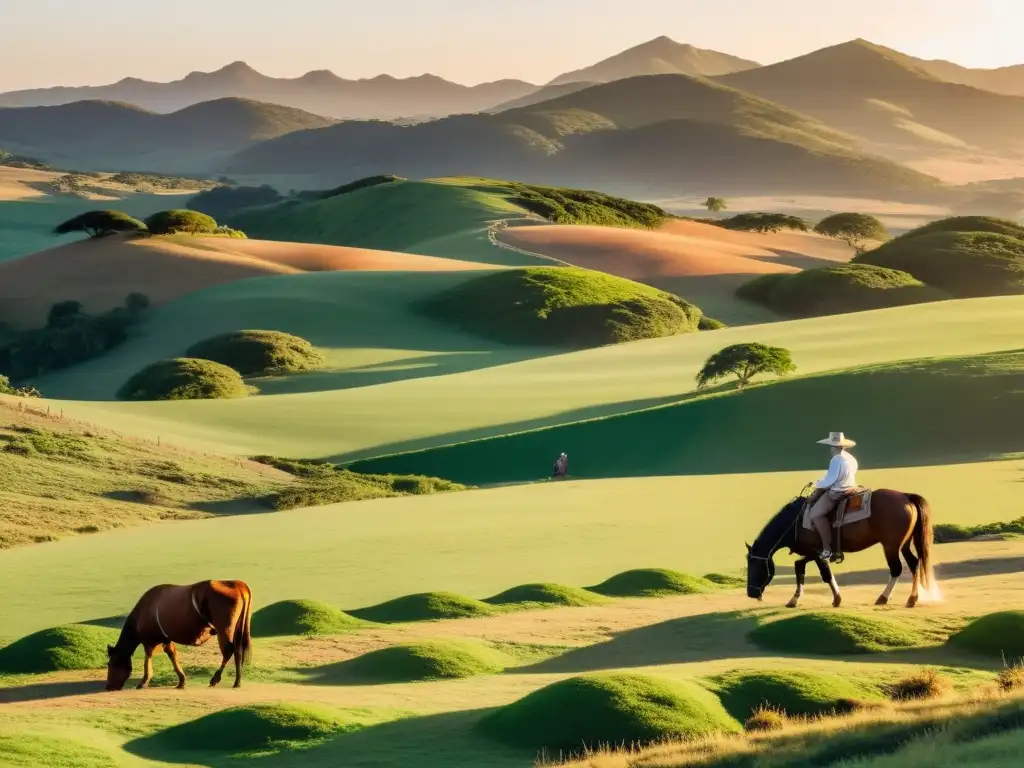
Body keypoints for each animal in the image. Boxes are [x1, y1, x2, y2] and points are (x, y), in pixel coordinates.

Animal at [104, 581, 252, 692]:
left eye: (110, 664)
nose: (108, 687)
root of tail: (238, 584)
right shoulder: (165, 638)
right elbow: (173, 656)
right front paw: (182, 681)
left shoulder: (150, 640)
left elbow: (149, 658)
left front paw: (144, 682)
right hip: (237, 629)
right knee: (238, 651)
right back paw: (237, 681)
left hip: (224, 629)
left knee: (229, 650)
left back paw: (216, 679)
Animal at [745, 489, 937, 610]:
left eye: (755, 566)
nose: (751, 593)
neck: (794, 523)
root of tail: (906, 496)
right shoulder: (812, 552)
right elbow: (800, 566)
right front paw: (795, 599)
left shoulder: (818, 552)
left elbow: (824, 573)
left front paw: (836, 599)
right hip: (904, 545)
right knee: (914, 564)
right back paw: (912, 599)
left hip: (890, 546)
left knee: (896, 568)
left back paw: (883, 598)